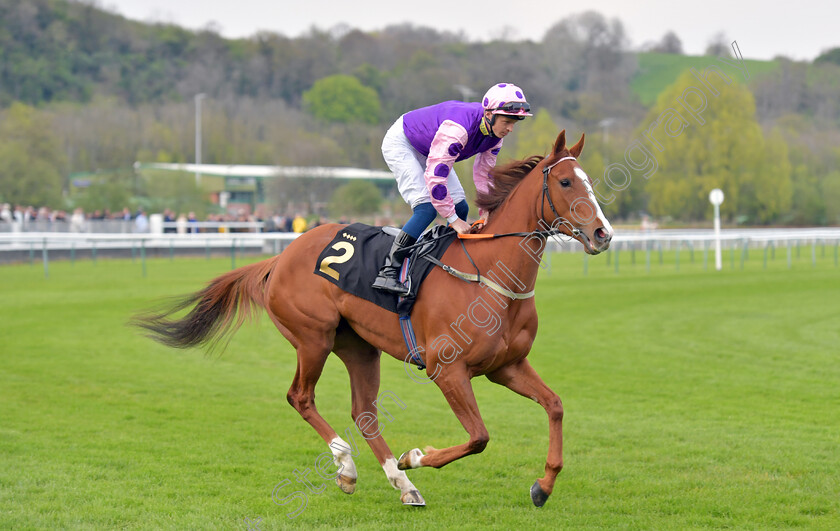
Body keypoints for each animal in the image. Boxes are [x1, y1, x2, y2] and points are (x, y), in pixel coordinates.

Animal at [135, 131, 612, 510]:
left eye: (588, 181)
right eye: (566, 181)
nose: (603, 234)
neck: (491, 275)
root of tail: (281, 255)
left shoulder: (506, 366)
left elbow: (555, 405)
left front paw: (543, 486)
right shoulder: (447, 369)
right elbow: (479, 436)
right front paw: (415, 457)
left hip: (359, 347)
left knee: (364, 413)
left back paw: (402, 485)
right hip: (313, 337)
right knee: (300, 397)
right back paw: (349, 468)